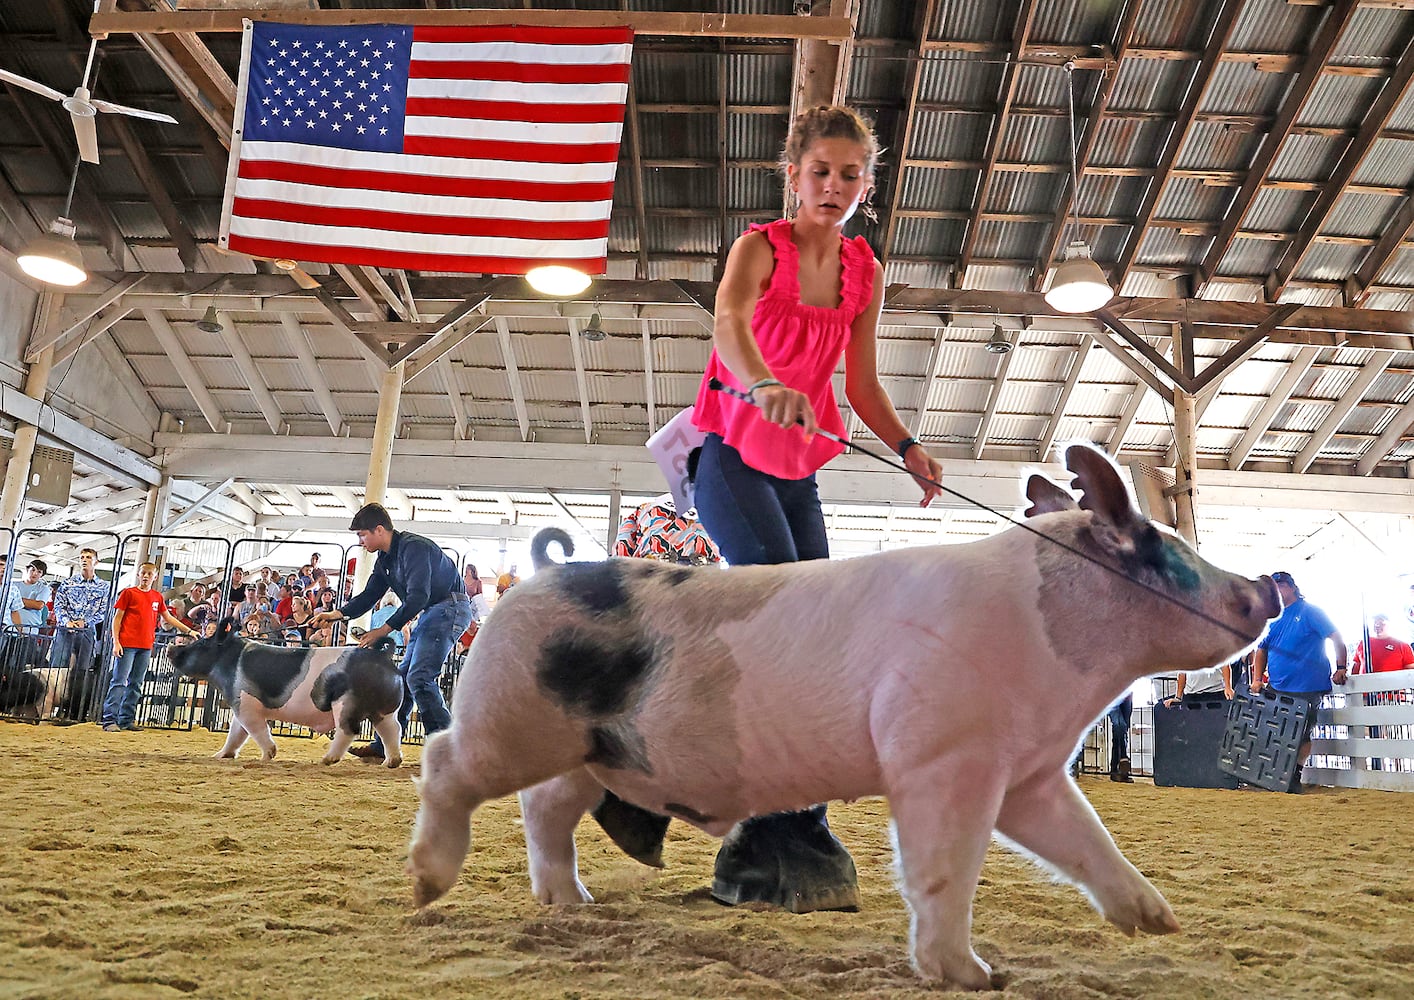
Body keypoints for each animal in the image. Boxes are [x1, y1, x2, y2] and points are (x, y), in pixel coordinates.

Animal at [169, 622, 410, 769]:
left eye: (202, 643)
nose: (171, 648)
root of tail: (383, 657)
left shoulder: (247, 706)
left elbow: (257, 731)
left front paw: (267, 756)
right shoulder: (240, 705)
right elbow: (235, 735)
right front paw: (219, 756)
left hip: (346, 704)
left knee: (348, 730)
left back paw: (327, 759)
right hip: (384, 710)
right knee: (393, 730)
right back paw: (390, 763)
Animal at [407, 446, 1283, 995]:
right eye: (1164, 547)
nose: (1269, 589)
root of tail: (535, 579)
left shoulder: (1029, 772)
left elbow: (1088, 841)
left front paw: (1159, 923)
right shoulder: (943, 756)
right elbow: (943, 869)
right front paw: (976, 977)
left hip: (595, 750)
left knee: (544, 808)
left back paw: (575, 904)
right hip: (513, 718)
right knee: (447, 761)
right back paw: (426, 886)